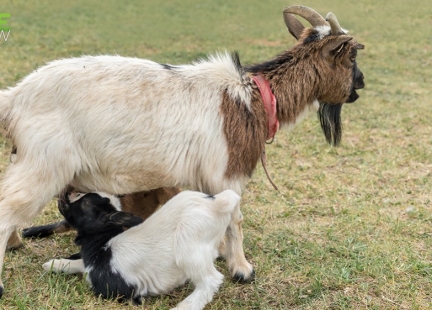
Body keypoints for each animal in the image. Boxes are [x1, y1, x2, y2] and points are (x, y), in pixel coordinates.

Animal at [0, 5, 364, 298]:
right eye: (353, 56)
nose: (360, 85)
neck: (253, 100)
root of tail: (15, 97)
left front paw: (220, 252)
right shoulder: (227, 173)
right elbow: (235, 219)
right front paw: (243, 269)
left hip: (26, 157)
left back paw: (17, 242)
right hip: (44, 162)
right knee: (9, 207)